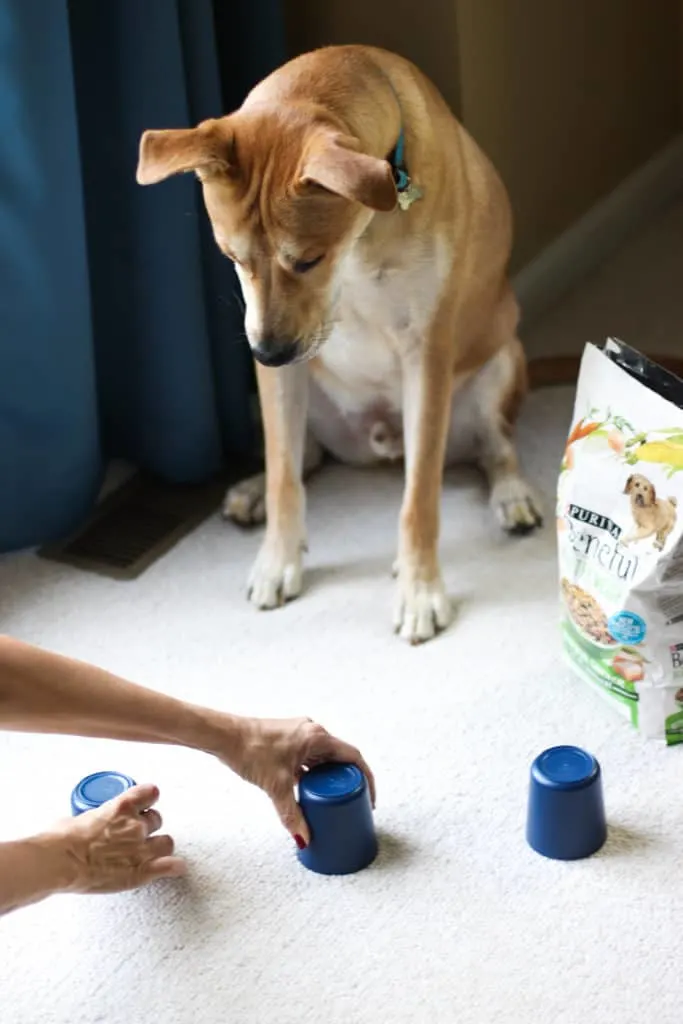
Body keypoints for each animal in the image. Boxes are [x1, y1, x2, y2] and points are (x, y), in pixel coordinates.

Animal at [136, 48, 540, 643]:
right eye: (232, 257)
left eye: (308, 259)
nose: (268, 353)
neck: (365, 234)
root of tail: (376, 443)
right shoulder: (278, 362)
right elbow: (284, 475)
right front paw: (277, 561)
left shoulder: (426, 351)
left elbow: (419, 499)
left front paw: (420, 590)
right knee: (302, 453)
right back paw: (251, 490)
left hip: (501, 363)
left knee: (496, 445)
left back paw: (511, 494)